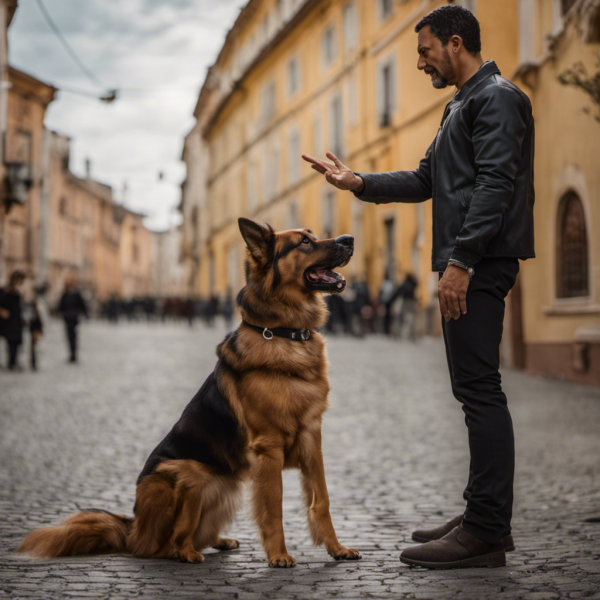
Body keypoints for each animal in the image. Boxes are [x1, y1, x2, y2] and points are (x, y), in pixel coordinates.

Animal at [19, 217, 360, 568]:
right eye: (304, 242)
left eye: (313, 235)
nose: (349, 240)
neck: (284, 334)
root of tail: (132, 530)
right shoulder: (268, 448)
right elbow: (273, 507)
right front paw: (278, 555)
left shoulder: (312, 439)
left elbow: (322, 500)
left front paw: (337, 548)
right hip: (190, 475)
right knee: (166, 545)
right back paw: (187, 553)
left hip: (227, 486)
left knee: (194, 535)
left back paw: (219, 541)